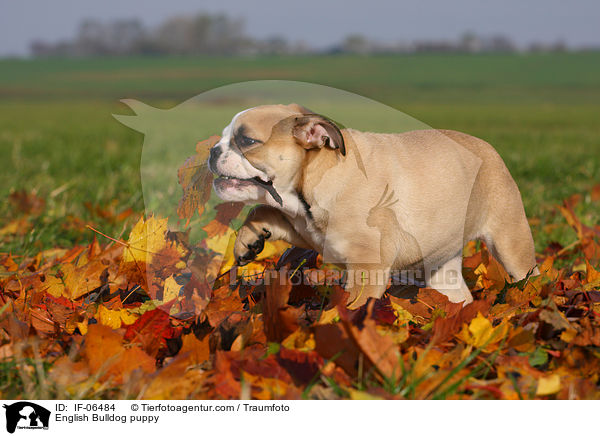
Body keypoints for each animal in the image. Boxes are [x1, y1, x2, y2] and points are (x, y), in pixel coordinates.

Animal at [207, 103, 540, 306]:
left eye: (247, 141)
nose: (212, 150)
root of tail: (488, 148)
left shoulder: (367, 266)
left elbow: (354, 306)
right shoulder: (306, 230)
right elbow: (263, 208)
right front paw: (249, 240)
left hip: (510, 239)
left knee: (526, 273)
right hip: (442, 264)